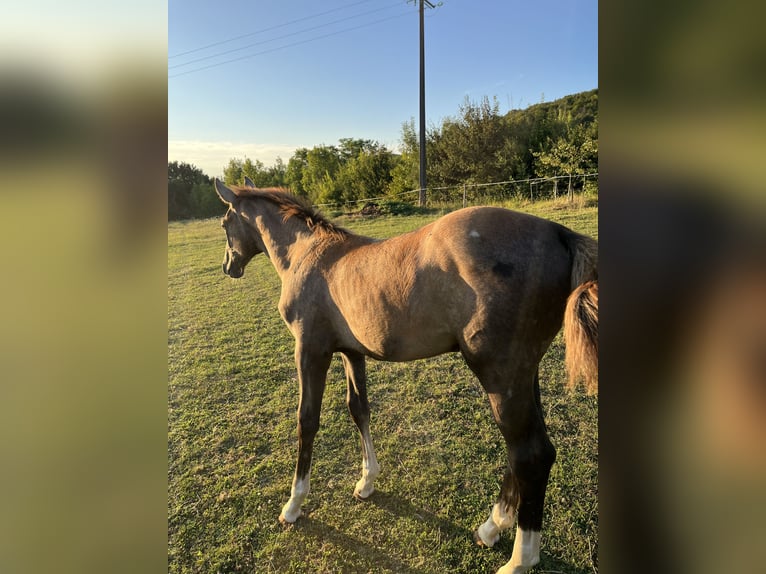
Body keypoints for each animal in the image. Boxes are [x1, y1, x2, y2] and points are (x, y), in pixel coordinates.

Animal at [213, 177, 596, 574]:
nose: (228, 266)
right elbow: (359, 409)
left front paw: (293, 505)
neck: (309, 253)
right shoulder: (352, 352)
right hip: (523, 376)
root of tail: (559, 232)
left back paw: (520, 559)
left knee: (529, 455)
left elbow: (307, 421)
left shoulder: (310, 351)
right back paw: (492, 527)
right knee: (530, 450)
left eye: (225, 223)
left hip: (499, 376)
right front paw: (366, 481)